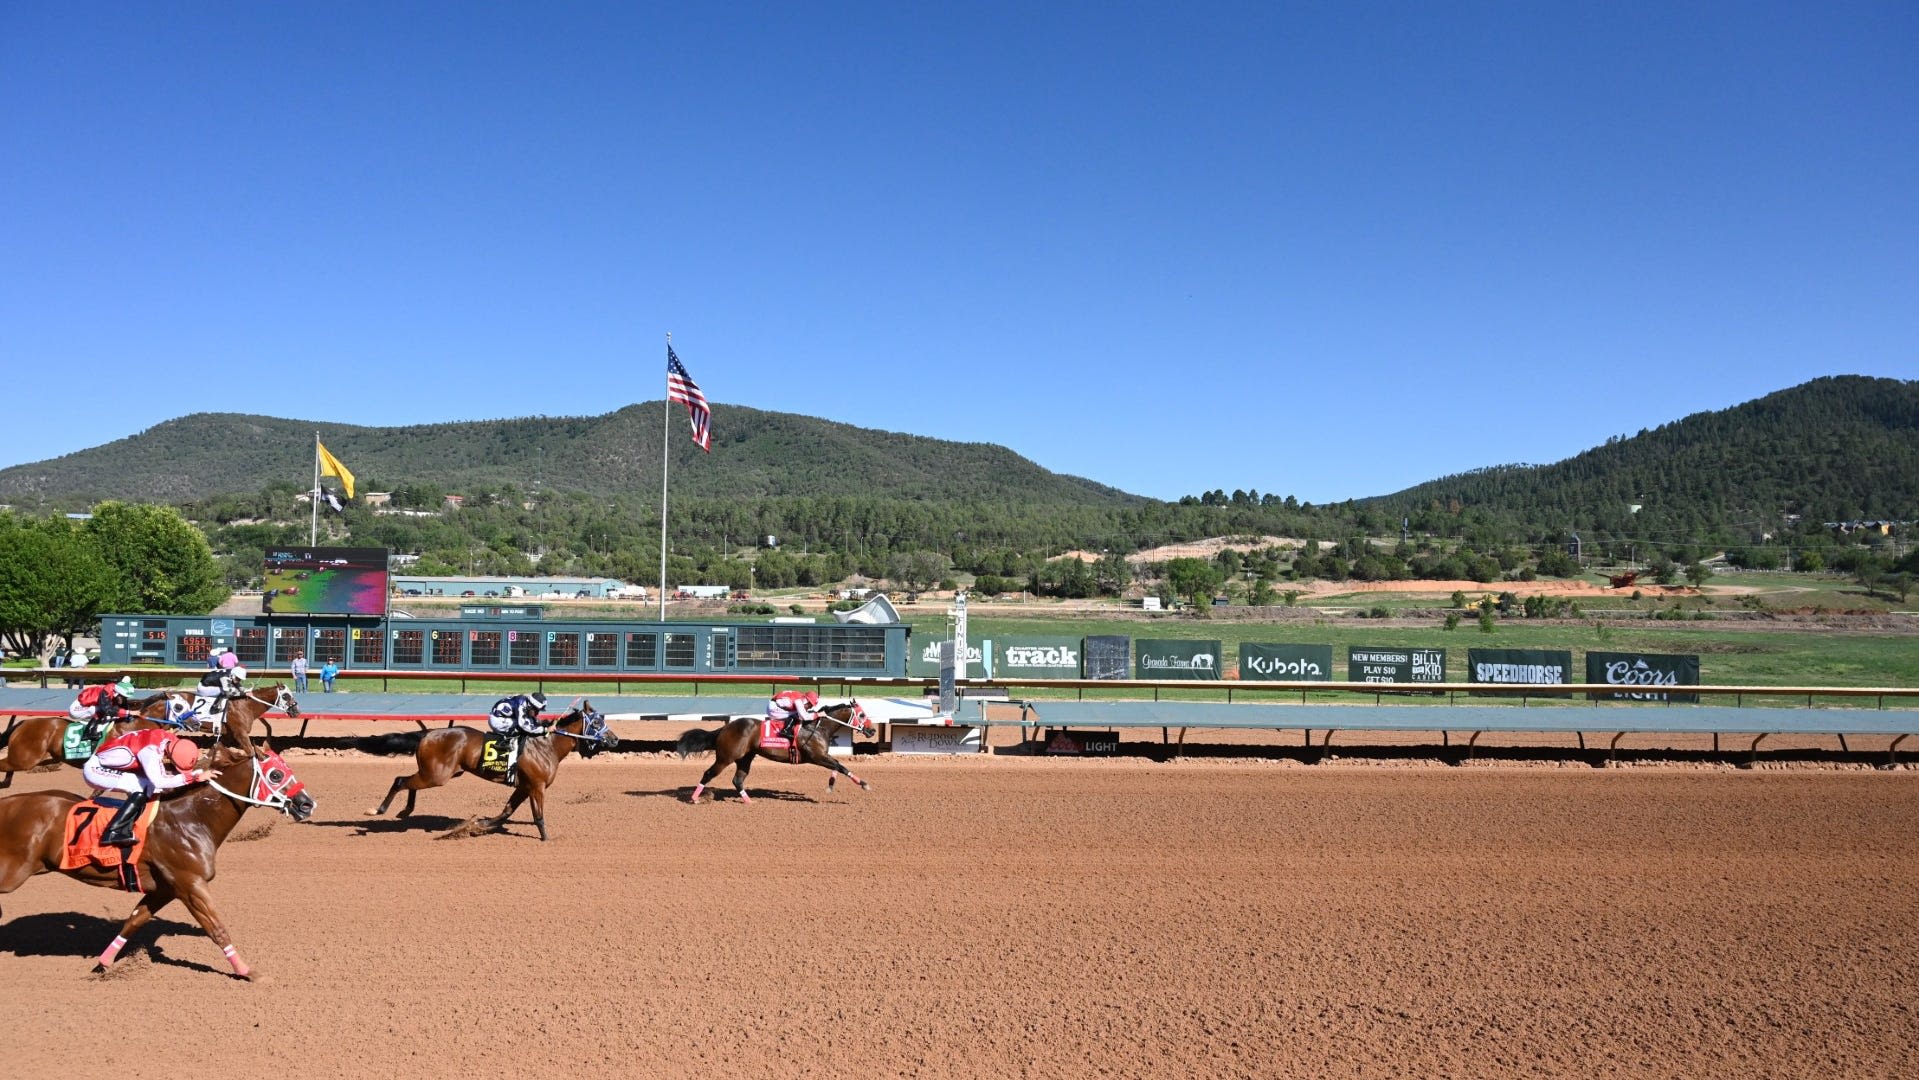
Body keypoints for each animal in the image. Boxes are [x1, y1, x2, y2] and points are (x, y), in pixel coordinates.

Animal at [0, 744, 318, 982]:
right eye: (276, 774)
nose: (307, 804)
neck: (191, 819)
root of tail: (9, 803)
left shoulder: (164, 888)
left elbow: (134, 921)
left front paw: (103, 963)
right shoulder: (190, 883)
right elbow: (216, 928)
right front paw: (248, 972)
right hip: (12, 872)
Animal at [364, 702, 614, 844]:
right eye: (597, 722)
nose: (614, 740)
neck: (546, 746)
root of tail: (428, 734)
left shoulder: (524, 786)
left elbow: (505, 812)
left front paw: (478, 825)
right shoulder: (537, 786)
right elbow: (538, 816)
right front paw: (546, 839)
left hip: (434, 773)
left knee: (409, 783)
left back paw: (405, 811)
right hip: (437, 775)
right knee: (400, 780)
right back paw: (378, 810)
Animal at [675, 702, 878, 801]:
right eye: (862, 715)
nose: (872, 730)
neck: (818, 727)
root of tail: (725, 728)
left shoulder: (822, 757)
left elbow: (837, 766)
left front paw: (830, 785)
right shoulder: (817, 756)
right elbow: (841, 766)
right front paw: (864, 784)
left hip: (745, 757)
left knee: (738, 780)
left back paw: (749, 801)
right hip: (725, 758)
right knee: (708, 774)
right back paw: (694, 798)